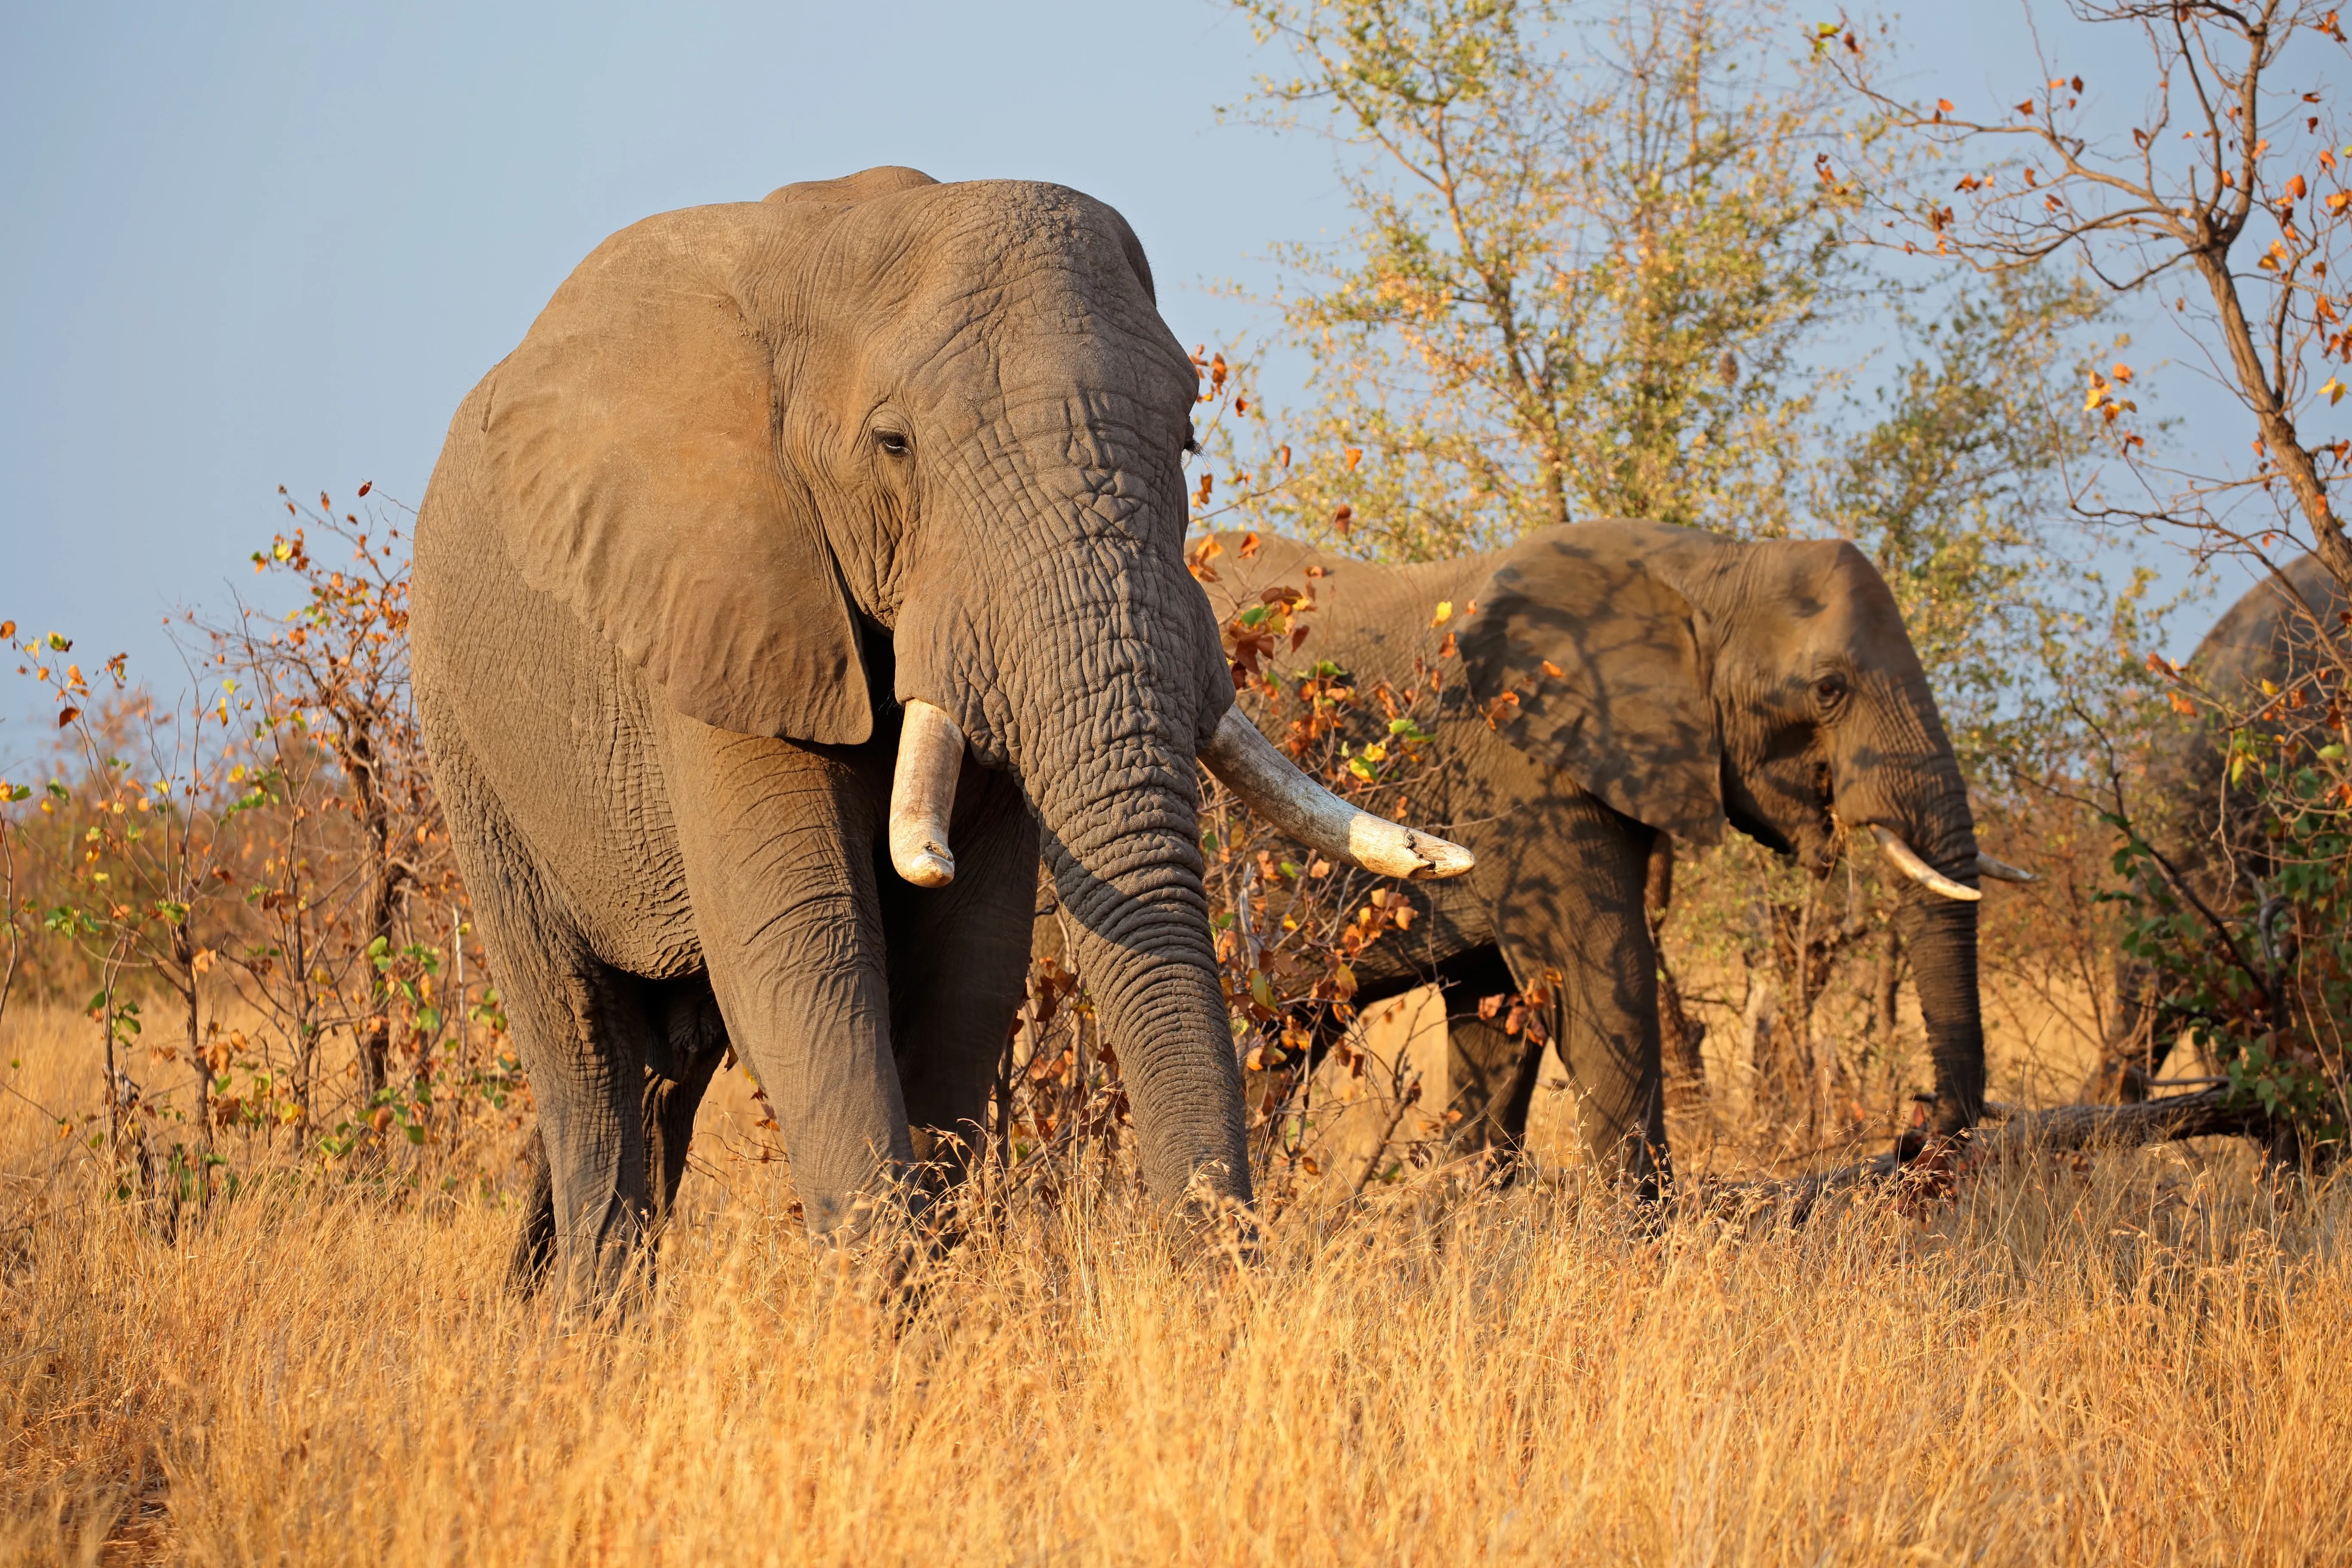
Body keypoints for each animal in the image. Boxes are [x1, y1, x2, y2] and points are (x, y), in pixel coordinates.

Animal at [409, 167, 1470, 1302]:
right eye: (894, 445)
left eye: (1186, 439)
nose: (1225, 1278)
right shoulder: (723, 602)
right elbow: (802, 944)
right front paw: (875, 1313)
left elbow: (968, 963)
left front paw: (922, 1309)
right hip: (470, 746)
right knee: (590, 1053)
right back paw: (588, 1318)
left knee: (666, 1068)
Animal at [1194, 522, 2009, 1188]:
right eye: (1830, 688)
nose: (1914, 1128)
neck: (1711, 566)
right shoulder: (1519, 759)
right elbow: (1598, 963)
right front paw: (1643, 1241)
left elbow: (1498, 1012)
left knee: (1288, 1038)